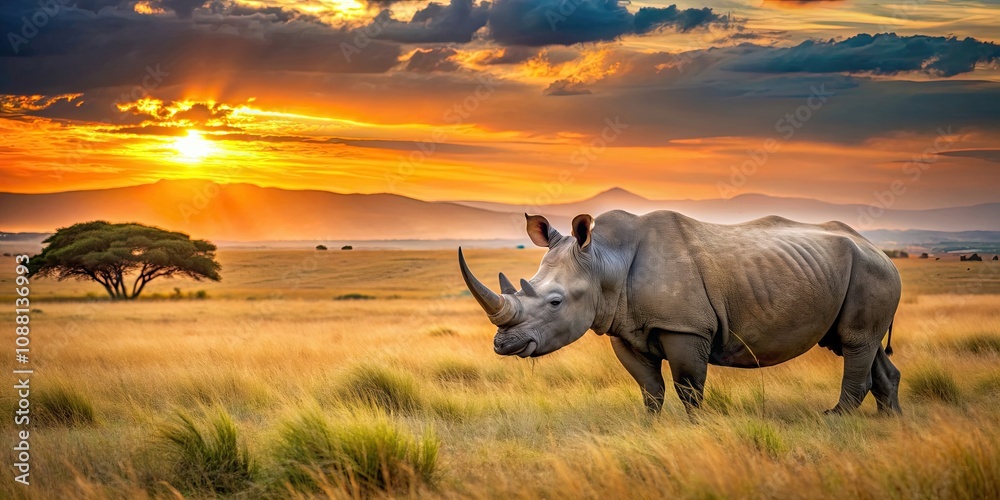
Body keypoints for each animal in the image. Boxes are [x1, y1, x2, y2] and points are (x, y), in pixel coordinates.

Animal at [458, 210, 902, 415]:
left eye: (555, 302)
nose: (502, 344)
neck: (603, 260)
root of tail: (881, 252)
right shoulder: (623, 328)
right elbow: (649, 388)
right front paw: (648, 427)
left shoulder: (686, 328)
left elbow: (689, 388)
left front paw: (694, 427)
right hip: (853, 272)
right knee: (859, 344)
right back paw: (889, 423)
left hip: (870, 271)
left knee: (855, 342)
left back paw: (833, 419)